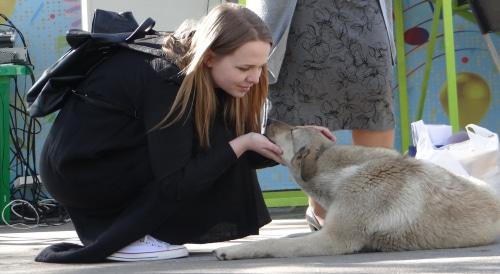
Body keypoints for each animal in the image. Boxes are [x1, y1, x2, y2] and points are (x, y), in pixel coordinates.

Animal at [214, 121, 500, 260]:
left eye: (293, 131)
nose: (269, 120)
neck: (340, 171)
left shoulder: (332, 240)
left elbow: (272, 242)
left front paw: (232, 251)